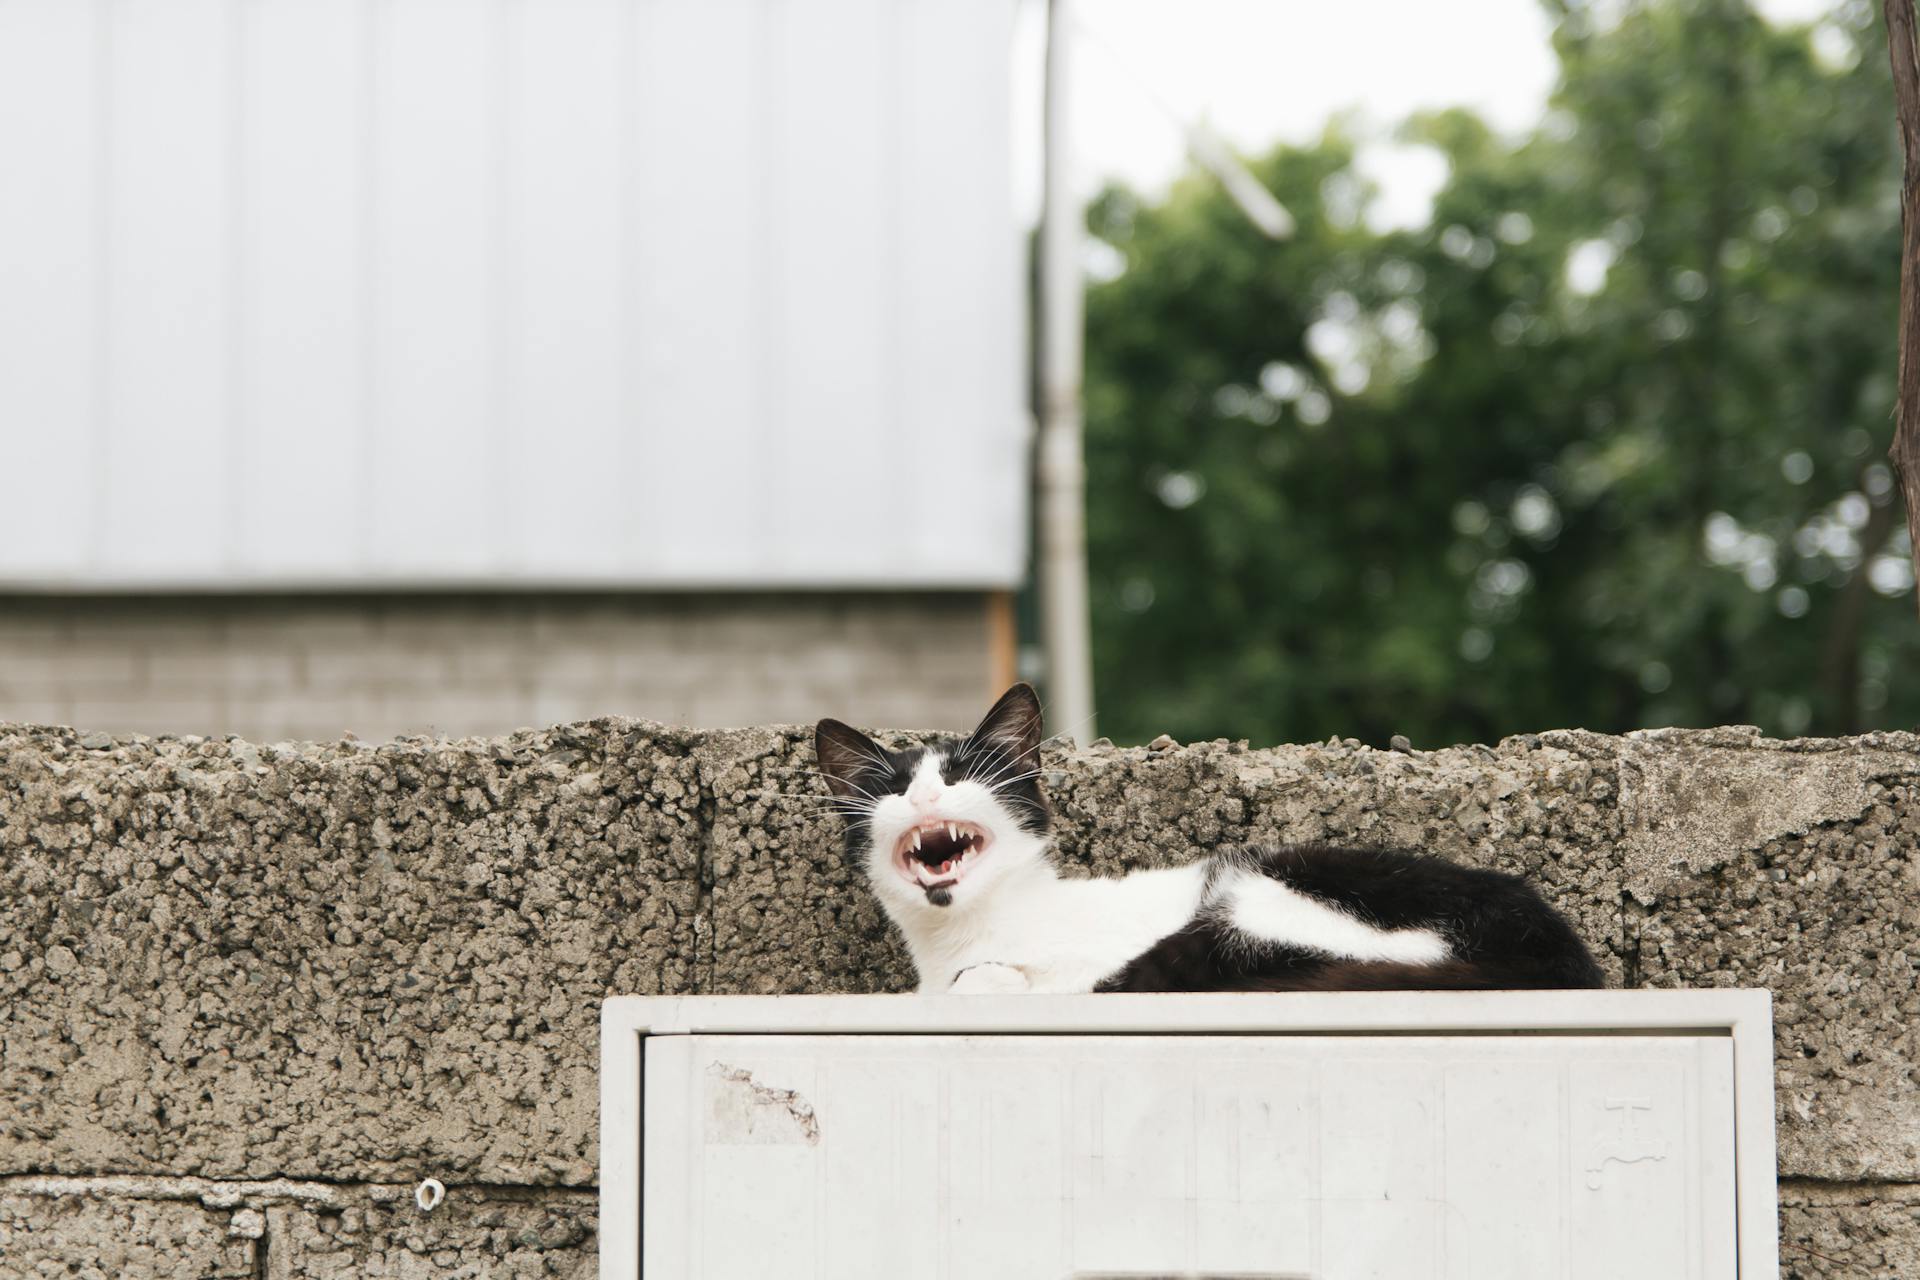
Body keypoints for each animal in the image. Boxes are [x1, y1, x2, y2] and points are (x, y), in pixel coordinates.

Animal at [810, 687, 1605, 997]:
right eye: (890, 789)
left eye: (964, 774)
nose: (924, 796)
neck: (969, 935)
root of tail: (1557, 949)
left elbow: (1003, 980)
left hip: (1270, 897)